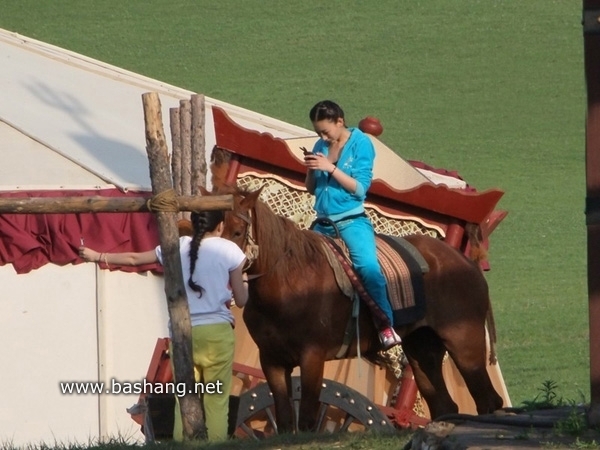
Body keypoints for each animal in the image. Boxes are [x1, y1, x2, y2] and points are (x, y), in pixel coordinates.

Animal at [220, 187, 502, 432]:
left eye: (238, 231)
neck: (289, 284)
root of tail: (467, 263)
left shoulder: (312, 357)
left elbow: (308, 420)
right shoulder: (272, 361)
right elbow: (286, 422)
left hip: (464, 344)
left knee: (488, 401)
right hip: (423, 351)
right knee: (444, 405)